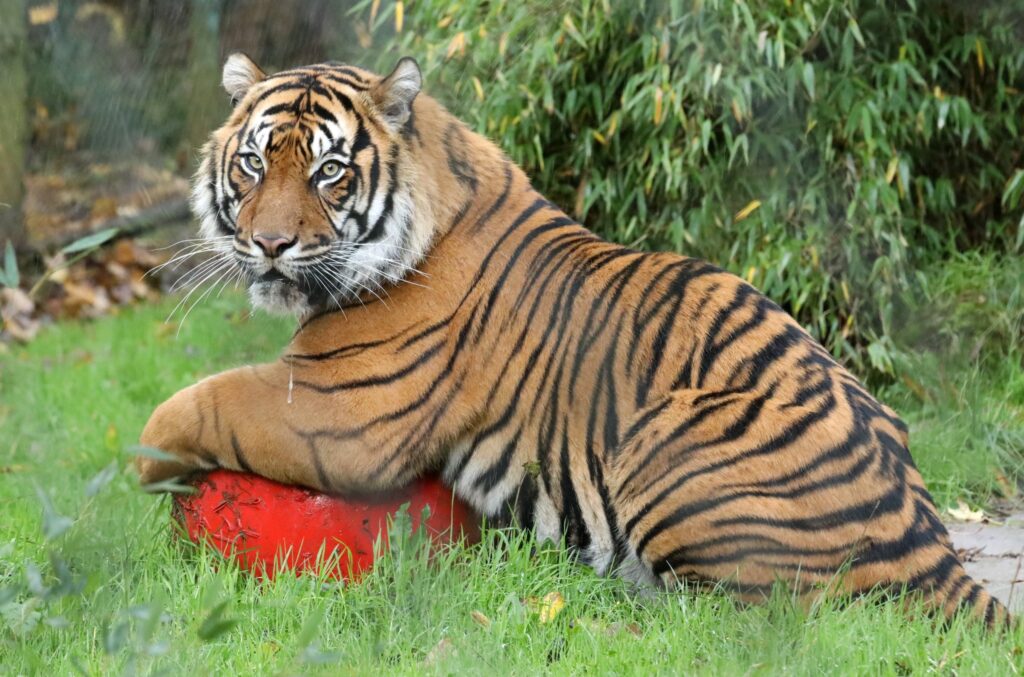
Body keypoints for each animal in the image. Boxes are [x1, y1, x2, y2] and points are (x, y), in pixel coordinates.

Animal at [137, 54, 1010, 627]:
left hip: (664, 439)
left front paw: (143, 468)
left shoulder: (338, 409)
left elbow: (191, 404)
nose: (270, 245)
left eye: (328, 172)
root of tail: (929, 537)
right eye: (253, 164)